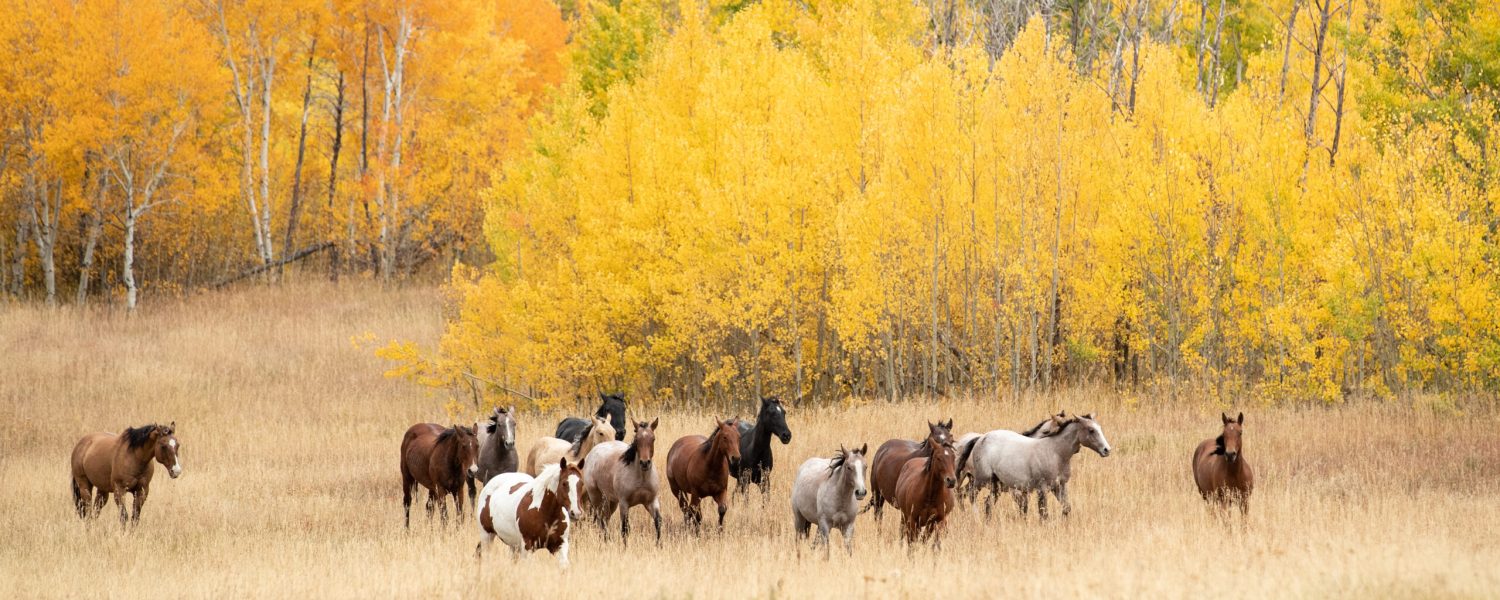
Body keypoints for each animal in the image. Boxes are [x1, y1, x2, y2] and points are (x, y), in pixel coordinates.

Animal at [956, 413, 1111, 520]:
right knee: (970, 496)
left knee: (987, 503)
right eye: (1091, 430)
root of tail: (979, 438)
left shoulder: (1059, 486)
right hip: (980, 480)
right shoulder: (1041, 489)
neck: (1055, 453)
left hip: (996, 485)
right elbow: (1043, 513)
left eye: (1099, 428)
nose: (1107, 450)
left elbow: (1066, 508)